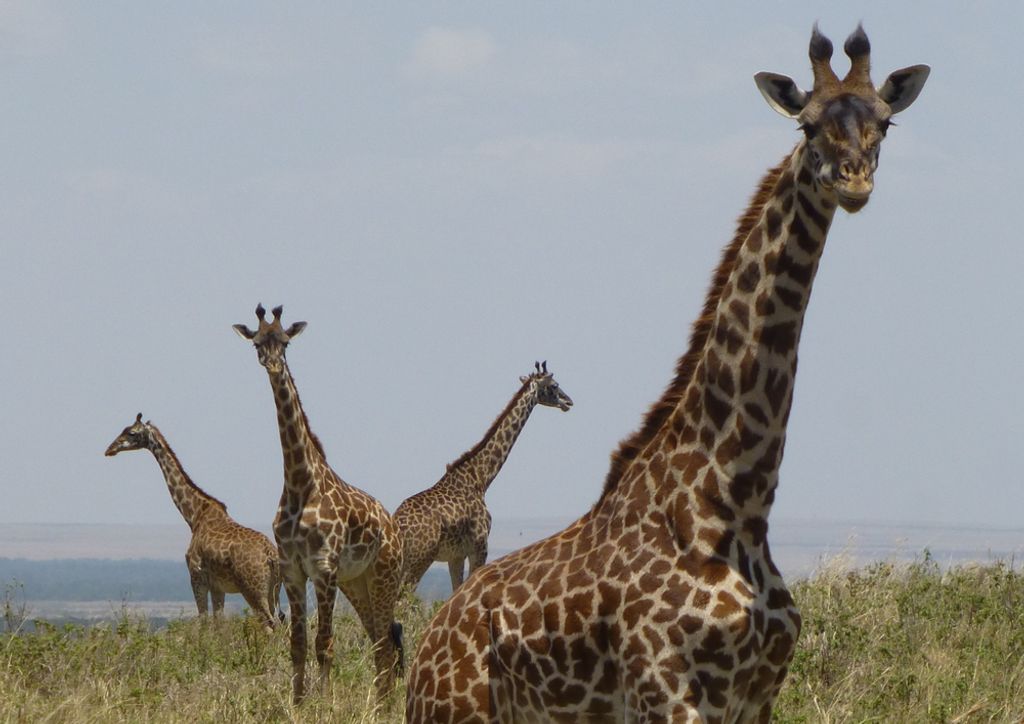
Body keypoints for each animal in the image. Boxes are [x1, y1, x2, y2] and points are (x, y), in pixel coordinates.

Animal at [105, 413, 282, 629]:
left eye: (131, 432)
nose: (110, 449)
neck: (194, 515)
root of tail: (272, 556)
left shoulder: (196, 577)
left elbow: (204, 621)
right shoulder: (217, 586)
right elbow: (218, 624)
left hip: (253, 589)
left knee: (270, 625)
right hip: (275, 589)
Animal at [234, 304, 404, 705]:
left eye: (285, 342)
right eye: (257, 343)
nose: (272, 365)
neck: (300, 484)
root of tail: (391, 526)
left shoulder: (324, 568)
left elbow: (324, 644)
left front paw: (325, 706)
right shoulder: (293, 570)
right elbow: (297, 644)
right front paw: (298, 704)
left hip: (384, 574)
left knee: (386, 642)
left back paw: (385, 705)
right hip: (357, 582)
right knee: (379, 640)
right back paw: (381, 704)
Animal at [394, 361, 573, 597]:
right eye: (554, 385)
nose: (569, 402)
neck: (481, 478)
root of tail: (397, 525)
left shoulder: (456, 555)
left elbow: (456, 590)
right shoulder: (480, 547)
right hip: (420, 559)